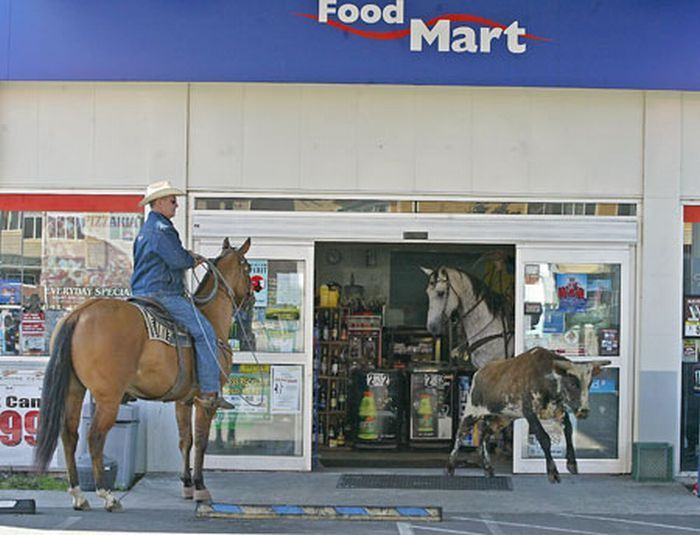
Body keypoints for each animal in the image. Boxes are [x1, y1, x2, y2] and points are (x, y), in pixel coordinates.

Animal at [34, 238, 252, 510]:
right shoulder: (206, 400)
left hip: (74, 389)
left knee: (70, 434)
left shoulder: (184, 400)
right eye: (248, 268)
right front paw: (201, 488)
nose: (252, 297)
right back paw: (107, 495)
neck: (209, 317)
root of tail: (80, 312)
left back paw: (78, 495)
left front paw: (187, 485)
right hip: (108, 397)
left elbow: (186, 440)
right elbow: (201, 441)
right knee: (95, 437)